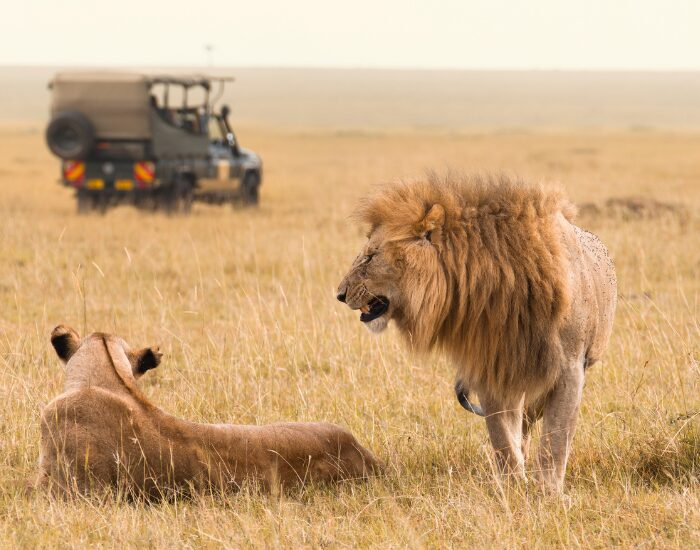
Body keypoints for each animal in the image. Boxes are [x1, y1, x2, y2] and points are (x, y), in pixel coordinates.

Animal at [336, 173, 616, 492]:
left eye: (371, 257)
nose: (340, 294)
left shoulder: (569, 368)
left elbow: (556, 438)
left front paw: (548, 491)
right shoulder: (491, 368)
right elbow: (502, 436)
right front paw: (513, 486)